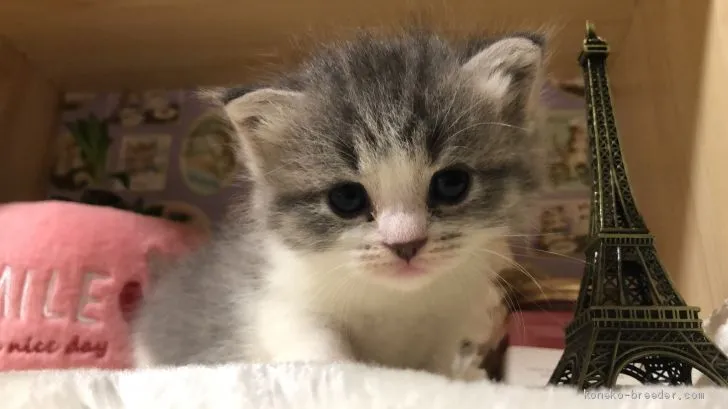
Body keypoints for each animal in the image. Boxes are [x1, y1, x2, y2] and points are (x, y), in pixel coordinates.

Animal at [131, 29, 548, 380]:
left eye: (451, 184)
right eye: (347, 198)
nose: (405, 244)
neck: (396, 303)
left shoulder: (448, 321)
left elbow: (435, 368)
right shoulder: (279, 298)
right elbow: (321, 352)